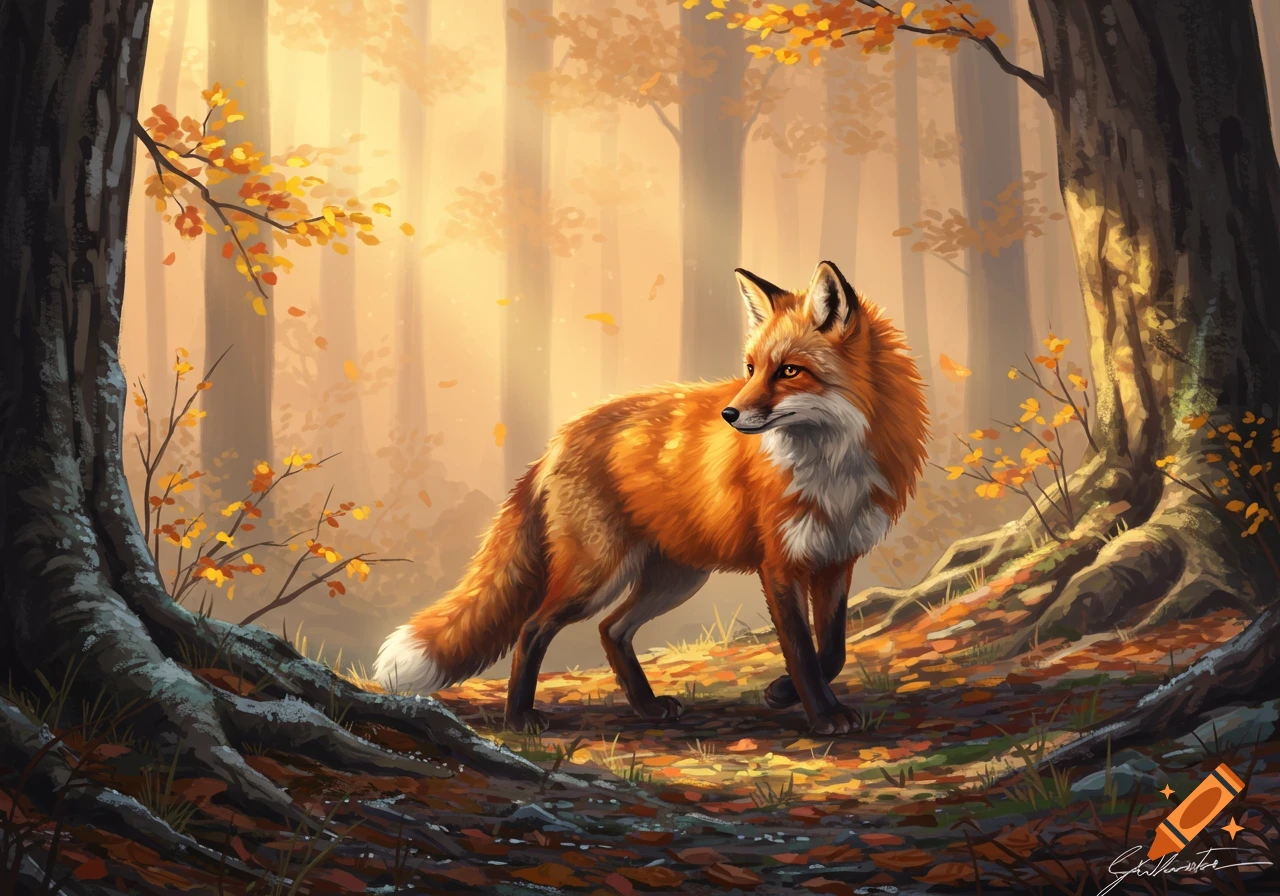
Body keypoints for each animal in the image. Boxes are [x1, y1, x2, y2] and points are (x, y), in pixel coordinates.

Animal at [374, 260, 929, 734]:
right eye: (750, 368)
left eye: (789, 371)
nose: (729, 415)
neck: (832, 469)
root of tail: (558, 439)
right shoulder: (779, 564)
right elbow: (803, 651)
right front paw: (819, 715)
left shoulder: (837, 559)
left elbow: (831, 651)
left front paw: (781, 693)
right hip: (598, 574)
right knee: (534, 628)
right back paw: (519, 719)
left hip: (674, 578)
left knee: (611, 630)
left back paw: (645, 706)